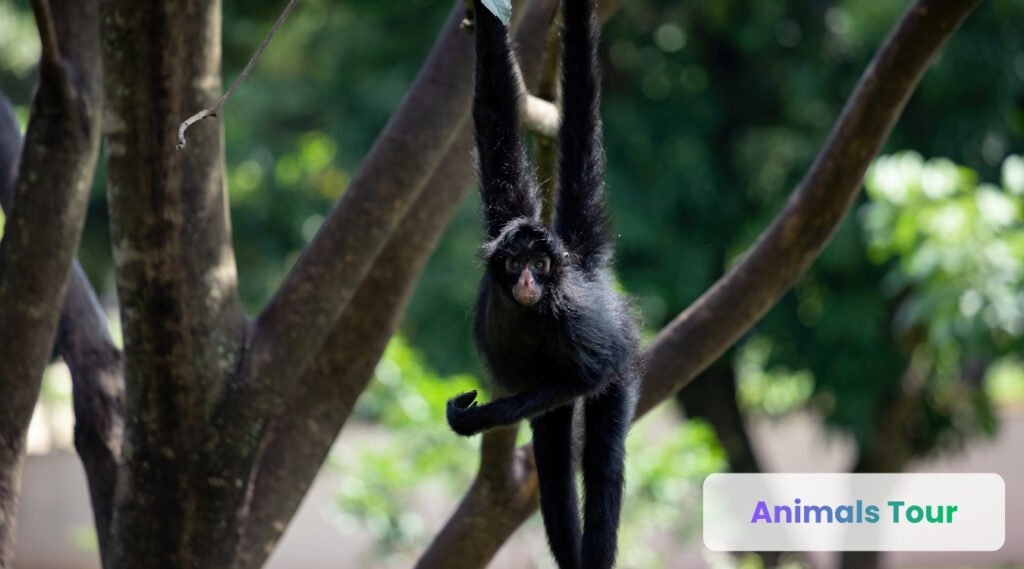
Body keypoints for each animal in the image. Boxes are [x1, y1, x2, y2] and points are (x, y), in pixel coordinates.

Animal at [445, 1, 641, 567]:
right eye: (514, 263)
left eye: (538, 262)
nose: (530, 279)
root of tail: (585, 267)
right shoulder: (504, 217)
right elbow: (493, 113)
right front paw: (483, 19)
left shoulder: (574, 321)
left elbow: (591, 375)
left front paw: (483, 416)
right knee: (552, 467)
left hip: (619, 350)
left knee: (600, 461)